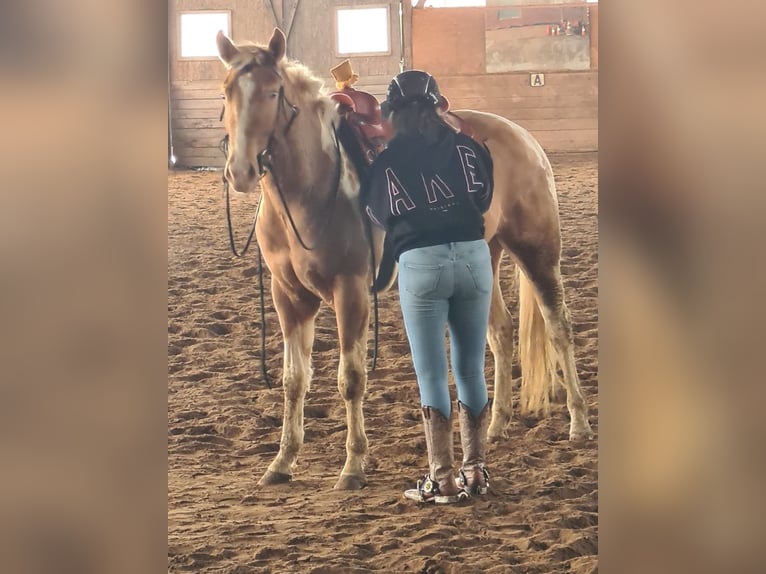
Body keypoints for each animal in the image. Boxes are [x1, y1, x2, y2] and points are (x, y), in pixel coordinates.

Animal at [215, 28, 593, 490]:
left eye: (272, 93)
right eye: (227, 92)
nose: (241, 171)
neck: (313, 190)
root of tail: (523, 137)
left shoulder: (351, 291)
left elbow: (351, 379)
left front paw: (353, 466)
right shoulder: (288, 296)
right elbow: (293, 380)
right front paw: (282, 462)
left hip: (537, 249)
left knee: (559, 327)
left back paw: (578, 423)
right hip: (484, 256)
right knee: (501, 333)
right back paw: (496, 425)